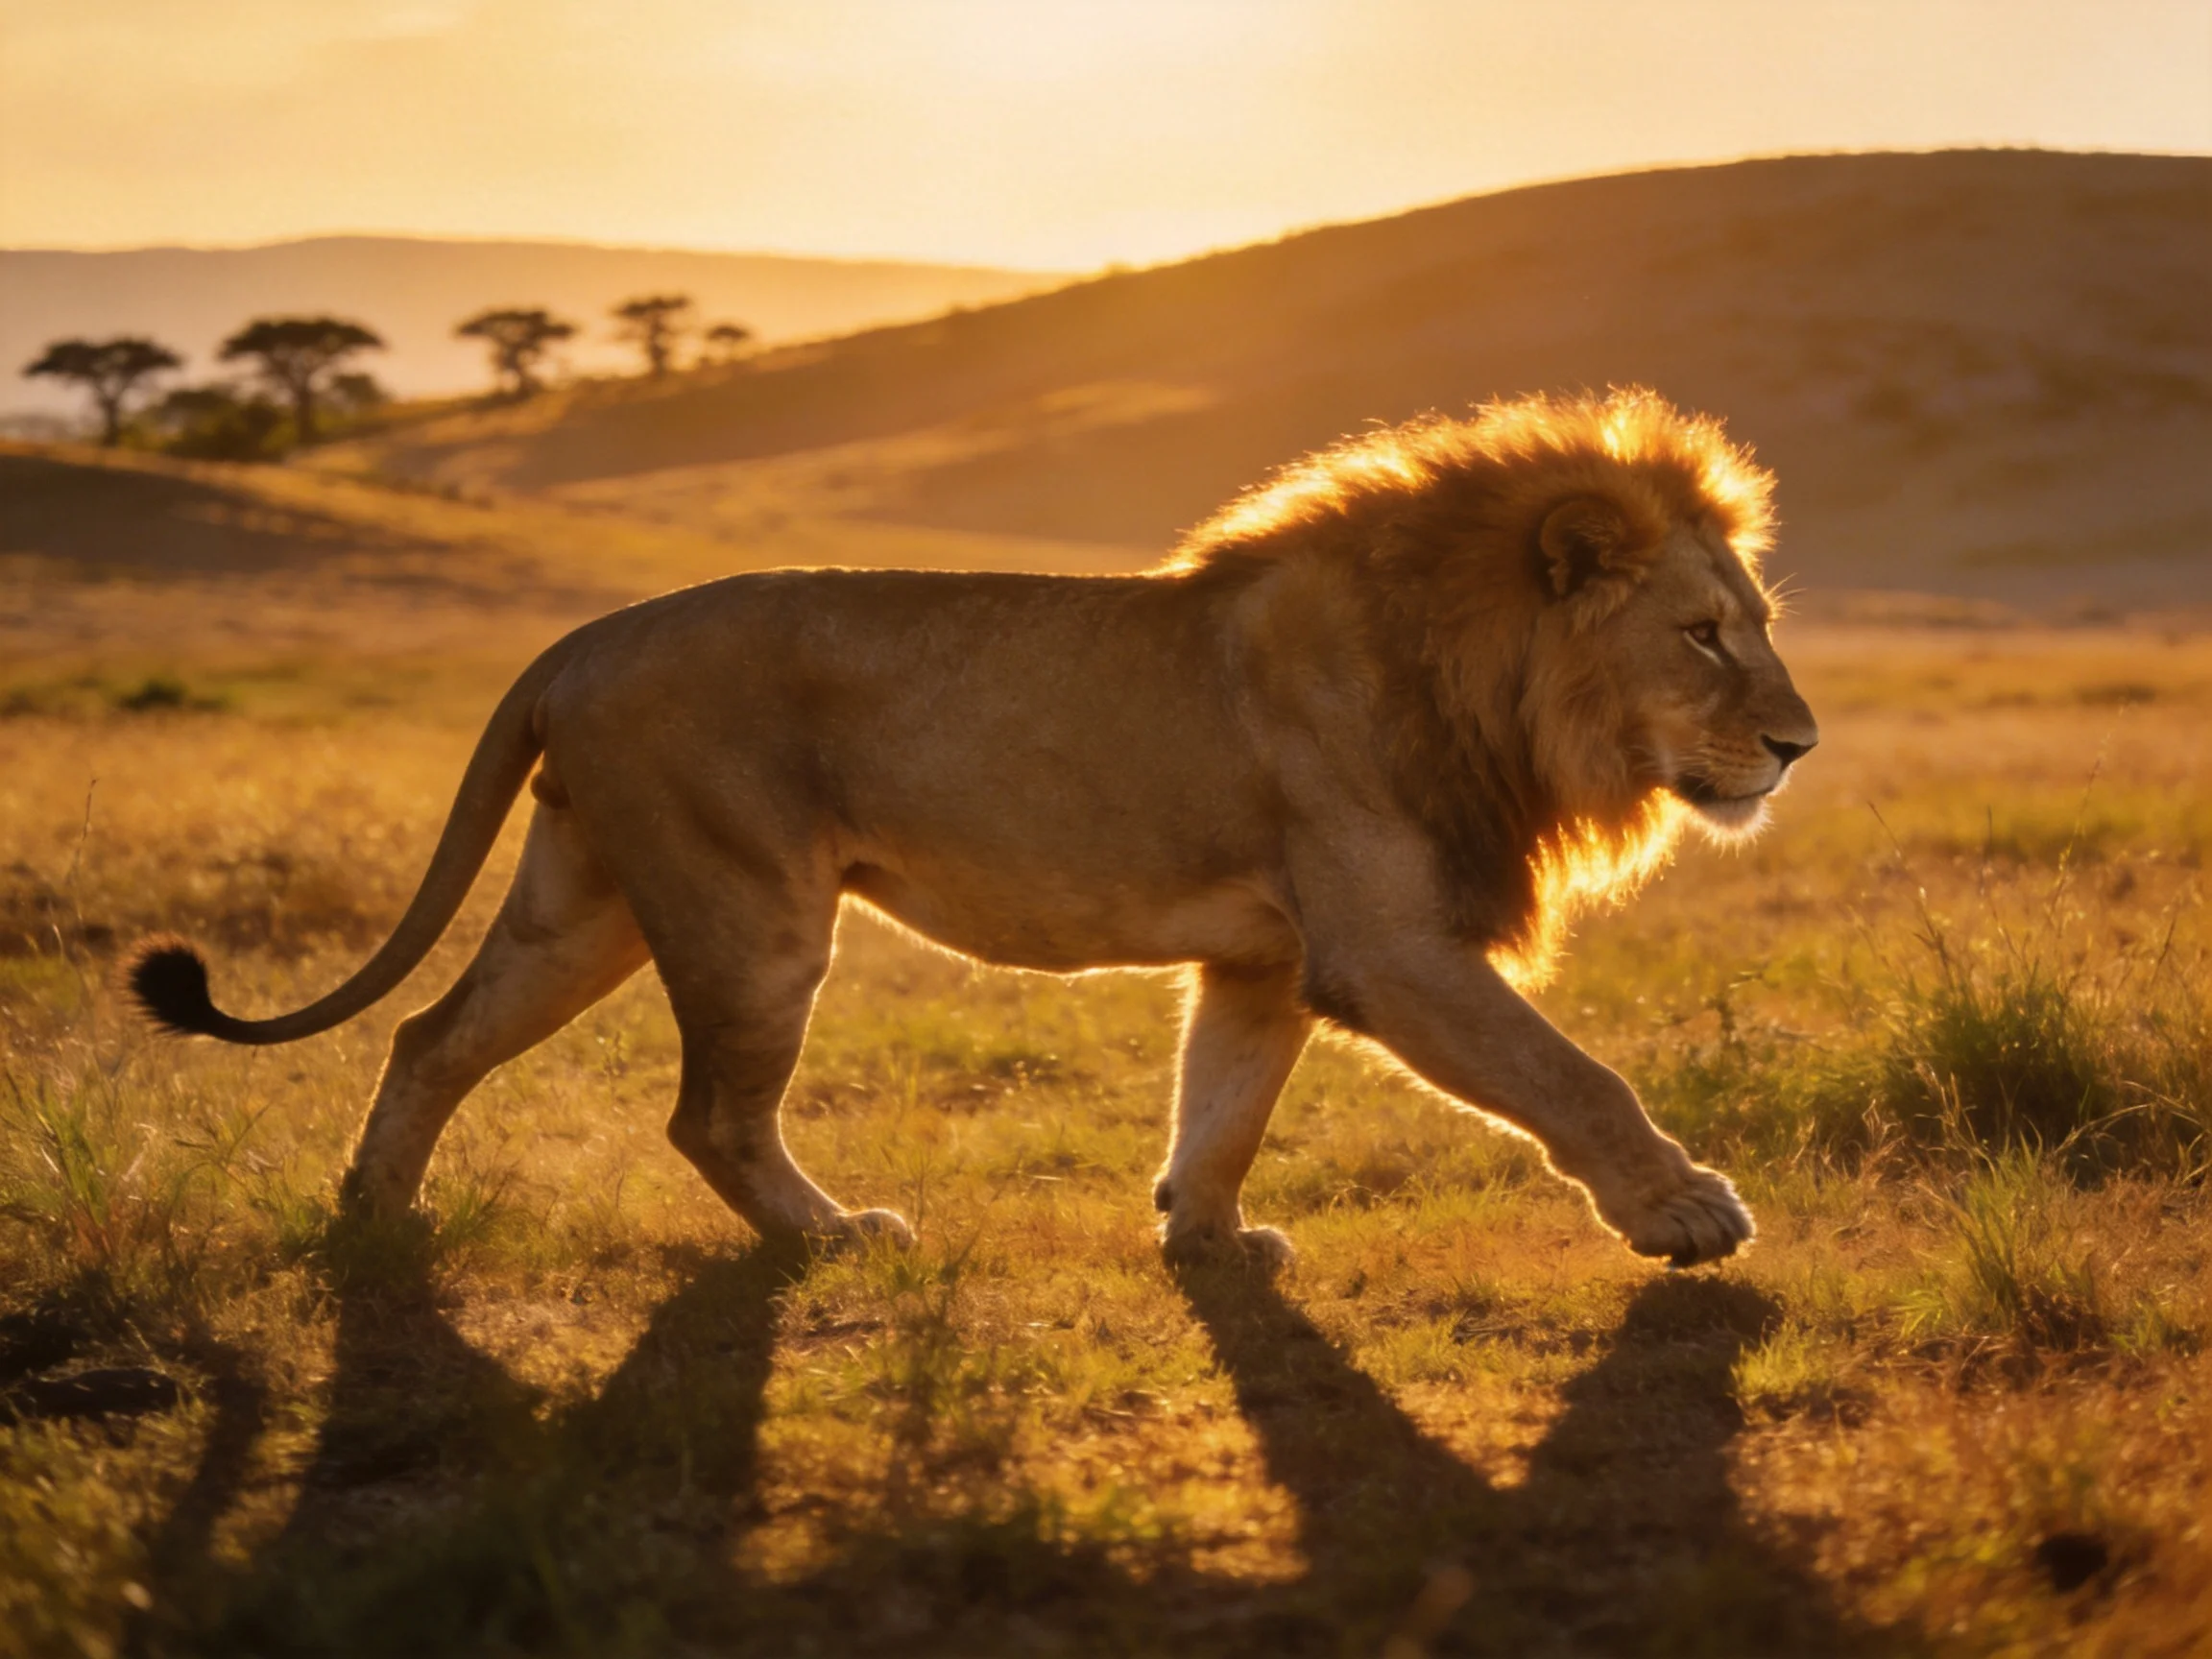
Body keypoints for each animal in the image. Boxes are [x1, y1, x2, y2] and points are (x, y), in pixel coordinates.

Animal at [128, 387, 1817, 1270]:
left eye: (1758, 626)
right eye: (1703, 636)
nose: (1800, 746)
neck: (1479, 677)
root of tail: (583, 639)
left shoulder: (1270, 959)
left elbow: (1224, 1104)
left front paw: (1205, 1239)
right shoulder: (1391, 948)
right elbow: (1572, 1075)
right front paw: (1687, 1210)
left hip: (585, 903)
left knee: (431, 1036)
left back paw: (371, 1221)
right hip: (749, 915)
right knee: (707, 1116)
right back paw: (831, 1238)